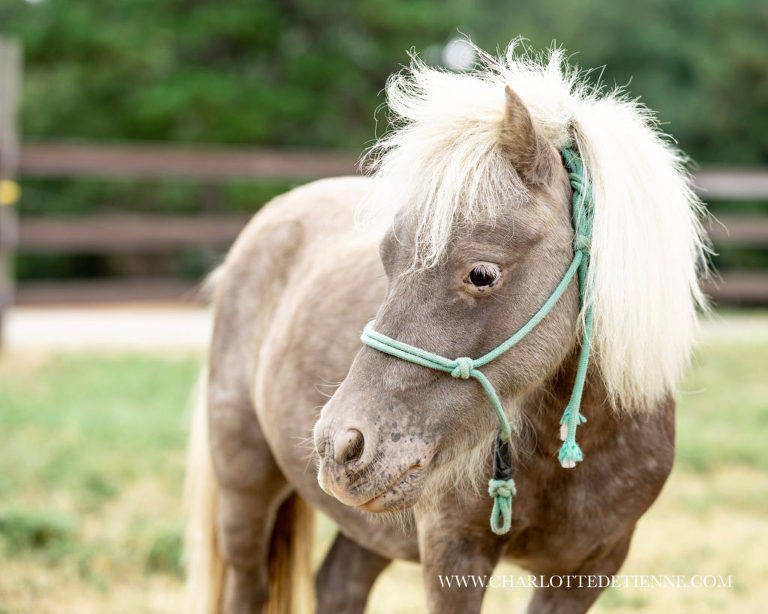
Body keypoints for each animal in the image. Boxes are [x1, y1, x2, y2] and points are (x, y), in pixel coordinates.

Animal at [183, 42, 708, 614]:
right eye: (386, 260)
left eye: (482, 274)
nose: (339, 445)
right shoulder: (452, 552)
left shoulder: (589, 569)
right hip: (246, 482)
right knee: (248, 585)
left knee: (340, 582)